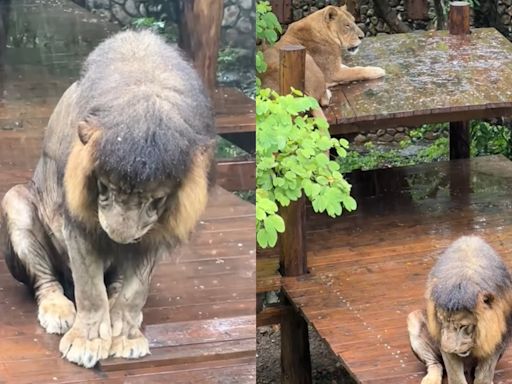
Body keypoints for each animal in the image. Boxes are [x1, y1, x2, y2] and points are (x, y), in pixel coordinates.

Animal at [0, 29, 215, 366]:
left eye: (156, 200)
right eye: (105, 187)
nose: (119, 237)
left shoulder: (155, 233)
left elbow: (134, 292)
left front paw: (125, 335)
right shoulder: (78, 223)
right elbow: (90, 290)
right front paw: (85, 341)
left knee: (116, 286)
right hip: (16, 201)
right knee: (46, 281)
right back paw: (58, 310)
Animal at [408, 237, 512, 384]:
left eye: (463, 326)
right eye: (441, 322)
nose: (446, 348)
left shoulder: (497, 334)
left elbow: (485, 373)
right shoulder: (442, 337)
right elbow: (455, 374)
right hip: (414, 319)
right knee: (434, 363)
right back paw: (430, 380)